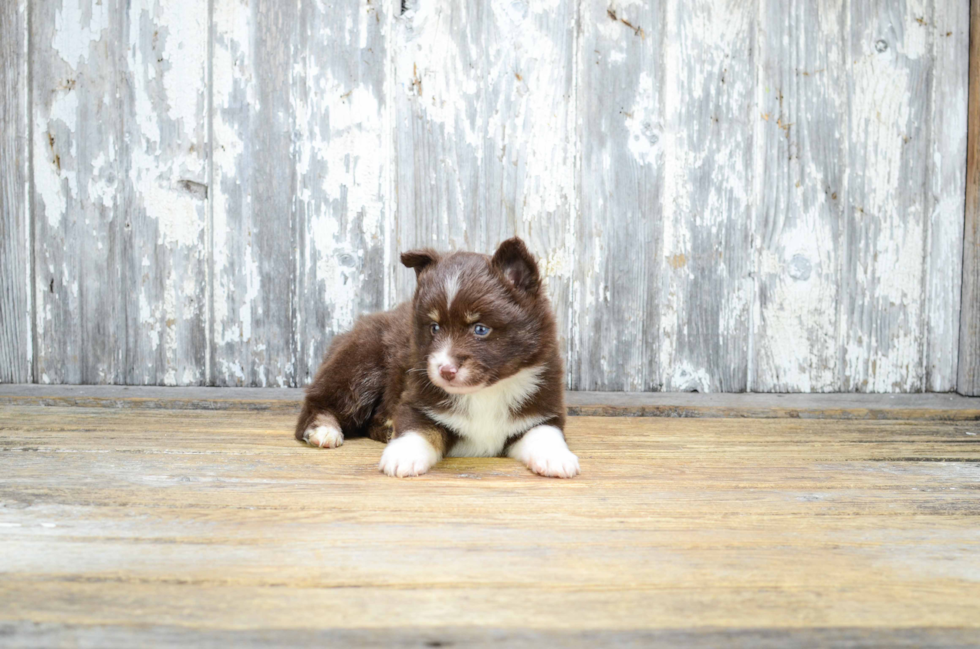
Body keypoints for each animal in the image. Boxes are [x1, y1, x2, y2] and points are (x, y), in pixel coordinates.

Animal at [294, 235, 580, 478]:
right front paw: (402, 455)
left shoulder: (542, 407)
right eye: (434, 327)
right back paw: (324, 429)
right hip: (361, 364)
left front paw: (557, 458)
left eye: (480, 329)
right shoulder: (416, 401)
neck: (484, 394)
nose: (445, 371)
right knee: (319, 401)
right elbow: (417, 429)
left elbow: (545, 432)